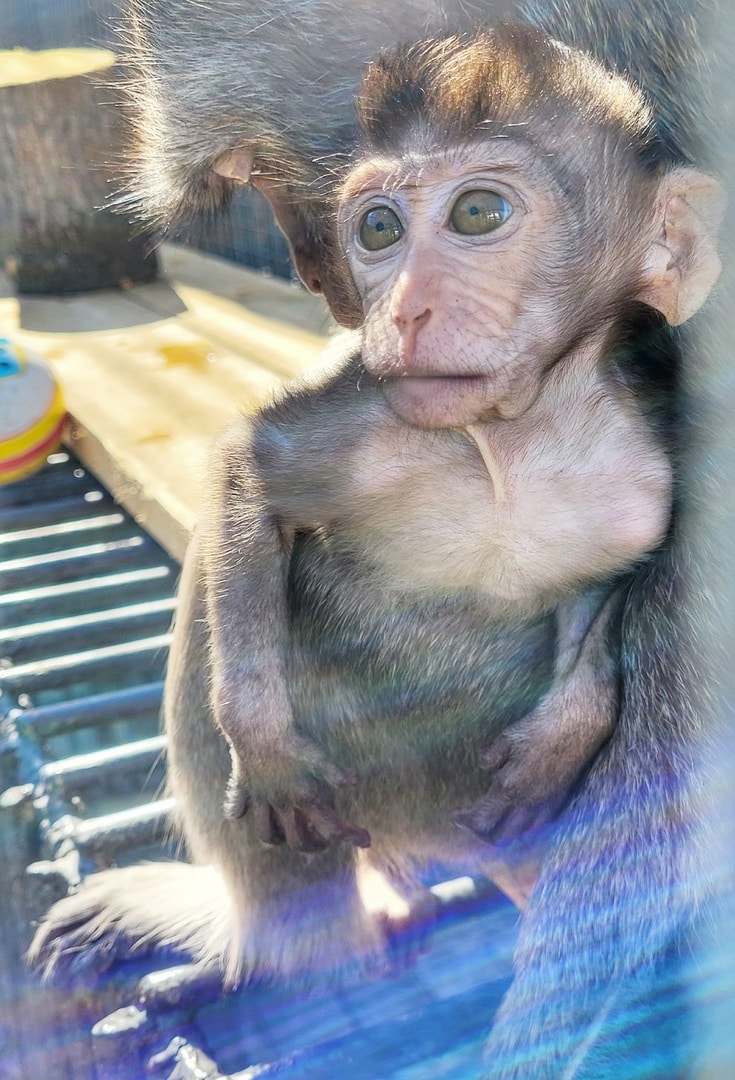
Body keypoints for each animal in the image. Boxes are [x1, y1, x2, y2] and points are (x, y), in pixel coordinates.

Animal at [30, 16, 720, 1080]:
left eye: (477, 213)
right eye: (379, 229)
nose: (388, 308)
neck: (507, 446)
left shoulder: (639, 479)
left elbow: (624, 592)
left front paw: (566, 729)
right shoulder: (375, 422)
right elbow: (251, 474)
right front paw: (264, 741)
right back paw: (286, 946)